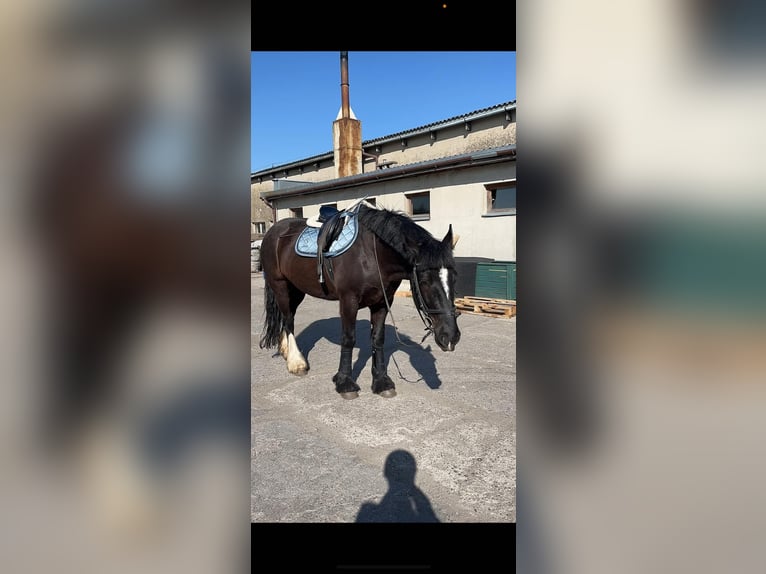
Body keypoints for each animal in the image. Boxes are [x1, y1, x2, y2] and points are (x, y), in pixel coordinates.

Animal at [258, 204, 461, 399]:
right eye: (424, 281)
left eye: (454, 278)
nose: (451, 337)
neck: (372, 255)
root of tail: (273, 231)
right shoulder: (349, 300)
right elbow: (348, 338)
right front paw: (345, 382)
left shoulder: (382, 302)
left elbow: (378, 339)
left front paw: (381, 381)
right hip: (281, 287)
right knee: (288, 320)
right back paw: (296, 362)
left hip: (296, 289)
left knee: (288, 317)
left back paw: (286, 352)